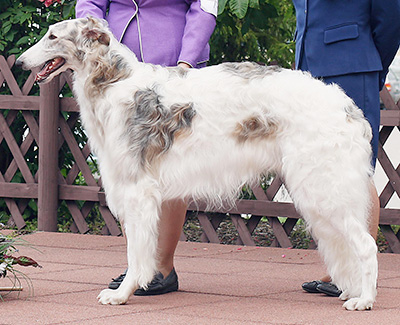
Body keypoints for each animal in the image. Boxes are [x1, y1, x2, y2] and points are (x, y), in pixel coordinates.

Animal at [16, 17, 378, 308]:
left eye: (52, 36)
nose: (19, 63)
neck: (115, 80)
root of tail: (347, 106)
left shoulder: (137, 190)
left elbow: (136, 252)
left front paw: (122, 294)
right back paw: (350, 291)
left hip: (324, 190)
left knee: (367, 244)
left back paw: (364, 299)